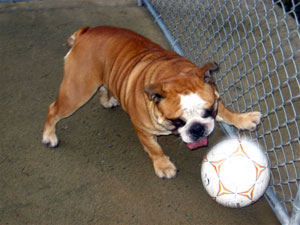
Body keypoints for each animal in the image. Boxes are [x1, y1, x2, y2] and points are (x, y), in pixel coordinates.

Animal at [41, 25, 262, 178]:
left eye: (209, 111)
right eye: (177, 121)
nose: (197, 129)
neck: (173, 75)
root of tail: (87, 31)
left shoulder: (214, 95)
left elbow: (226, 111)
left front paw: (244, 119)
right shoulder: (144, 131)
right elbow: (155, 150)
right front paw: (163, 166)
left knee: (103, 88)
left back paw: (108, 100)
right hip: (77, 91)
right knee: (53, 109)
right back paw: (49, 137)